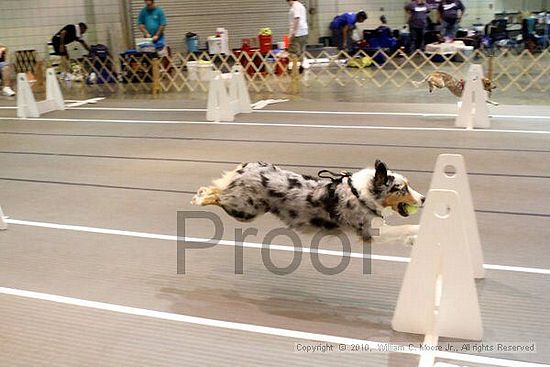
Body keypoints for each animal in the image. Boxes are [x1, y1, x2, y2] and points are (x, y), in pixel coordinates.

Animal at [191, 160, 426, 242]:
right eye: (402, 188)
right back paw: (198, 199)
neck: (362, 194)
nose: (424, 198)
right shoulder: (370, 233)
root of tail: (248, 167)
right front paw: (418, 233)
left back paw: (199, 193)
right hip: (245, 210)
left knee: (215, 187)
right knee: (216, 195)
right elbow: (405, 227)